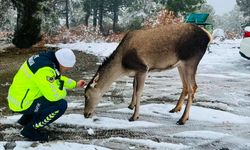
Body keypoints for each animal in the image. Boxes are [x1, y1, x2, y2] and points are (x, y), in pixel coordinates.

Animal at [83, 23, 211, 124]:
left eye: (86, 95)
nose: (85, 114)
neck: (122, 66)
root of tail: (208, 36)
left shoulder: (143, 68)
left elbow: (139, 91)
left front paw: (134, 116)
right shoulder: (136, 71)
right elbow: (134, 87)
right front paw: (131, 106)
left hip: (190, 60)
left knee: (193, 87)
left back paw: (182, 119)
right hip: (180, 65)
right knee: (185, 86)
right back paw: (175, 109)